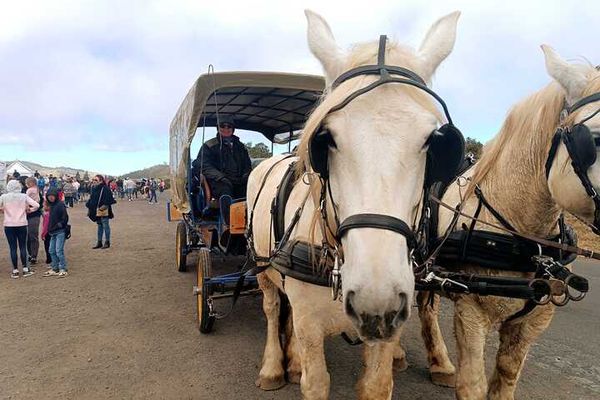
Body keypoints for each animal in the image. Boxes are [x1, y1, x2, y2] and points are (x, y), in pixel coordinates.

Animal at [246, 8, 462, 400]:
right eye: (325, 138)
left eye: (435, 142)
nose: (376, 300)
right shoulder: (310, 324)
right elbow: (315, 381)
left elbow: (377, 383)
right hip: (261, 266)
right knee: (272, 307)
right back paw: (273, 367)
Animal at [414, 45, 600, 398]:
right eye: (593, 141)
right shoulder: (471, 313)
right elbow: (473, 385)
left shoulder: (532, 322)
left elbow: (506, 378)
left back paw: (439, 363)